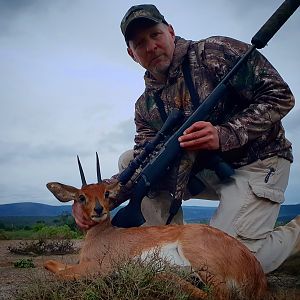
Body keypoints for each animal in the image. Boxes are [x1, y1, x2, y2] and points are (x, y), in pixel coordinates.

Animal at [45, 154, 268, 298]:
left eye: (106, 193)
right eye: (81, 197)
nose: (99, 210)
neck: (102, 235)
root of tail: (256, 270)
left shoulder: (97, 266)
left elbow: (60, 272)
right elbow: (51, 263)